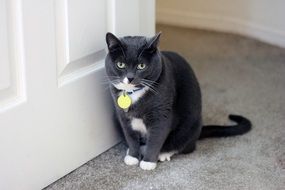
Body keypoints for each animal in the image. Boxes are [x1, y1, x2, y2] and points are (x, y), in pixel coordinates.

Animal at [104, 31, 251, 170]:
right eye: (120, 64)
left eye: (141, 65)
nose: (130, 78)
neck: (133, 94)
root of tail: (198, 131)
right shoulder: (123, 117)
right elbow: (131, 137)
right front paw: (133, 157)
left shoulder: (161, 115)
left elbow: (155, 139)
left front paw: (148, 162)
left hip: (189, 126)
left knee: (185, 146)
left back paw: (164, 153)